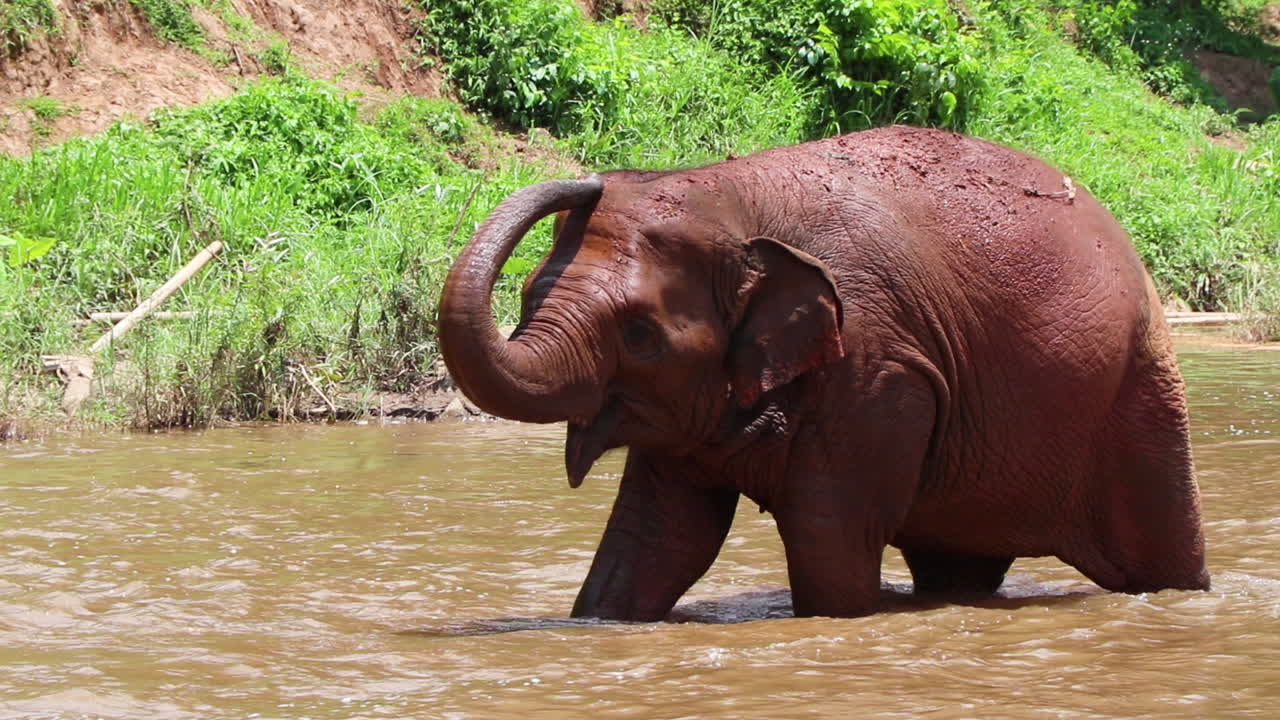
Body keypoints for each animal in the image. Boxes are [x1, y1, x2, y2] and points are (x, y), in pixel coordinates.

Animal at [437, 125, 1210, 621]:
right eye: (528, 298)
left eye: (640, 335)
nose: (590, 177)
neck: (728, 192)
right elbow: (659, 539)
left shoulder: (877, 371)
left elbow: (827, 541)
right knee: (956, 567)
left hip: (1137, 389)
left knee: (1159, 547)